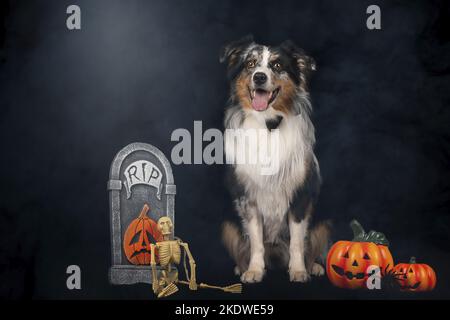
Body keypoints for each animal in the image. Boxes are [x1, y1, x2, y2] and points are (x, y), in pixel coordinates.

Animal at [221, 36, 330, 284]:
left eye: (277, 65)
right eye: (250, 64)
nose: (259, 77)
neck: (268, 124)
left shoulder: (300, 195)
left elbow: (298, 242)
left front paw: (298, 271)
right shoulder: (247, 197)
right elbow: (255, 241)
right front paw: (254, 270)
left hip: (322, 222)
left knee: (309, 247)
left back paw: (313, 267)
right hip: (229, 224)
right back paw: (242, 266)